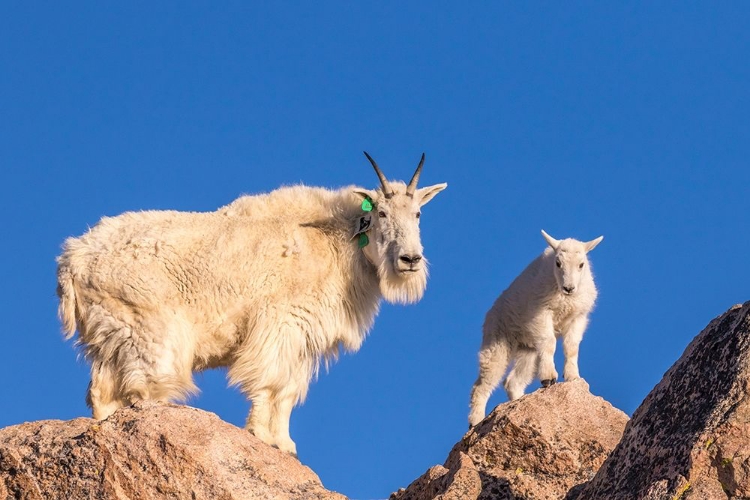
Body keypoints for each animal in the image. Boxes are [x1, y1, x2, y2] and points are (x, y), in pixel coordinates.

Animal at [60, 152, 446, 454]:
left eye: (417, 214)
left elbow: (287, 392)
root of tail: (72, 260)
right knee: (143, 386)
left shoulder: (303, 337)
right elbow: (267, 380)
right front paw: (261, 434)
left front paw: (285, 445)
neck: (336, 241)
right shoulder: (278, 323)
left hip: (111, 331)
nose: (410, 259)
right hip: (148, 328)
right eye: (381, 213)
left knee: (101, 392)